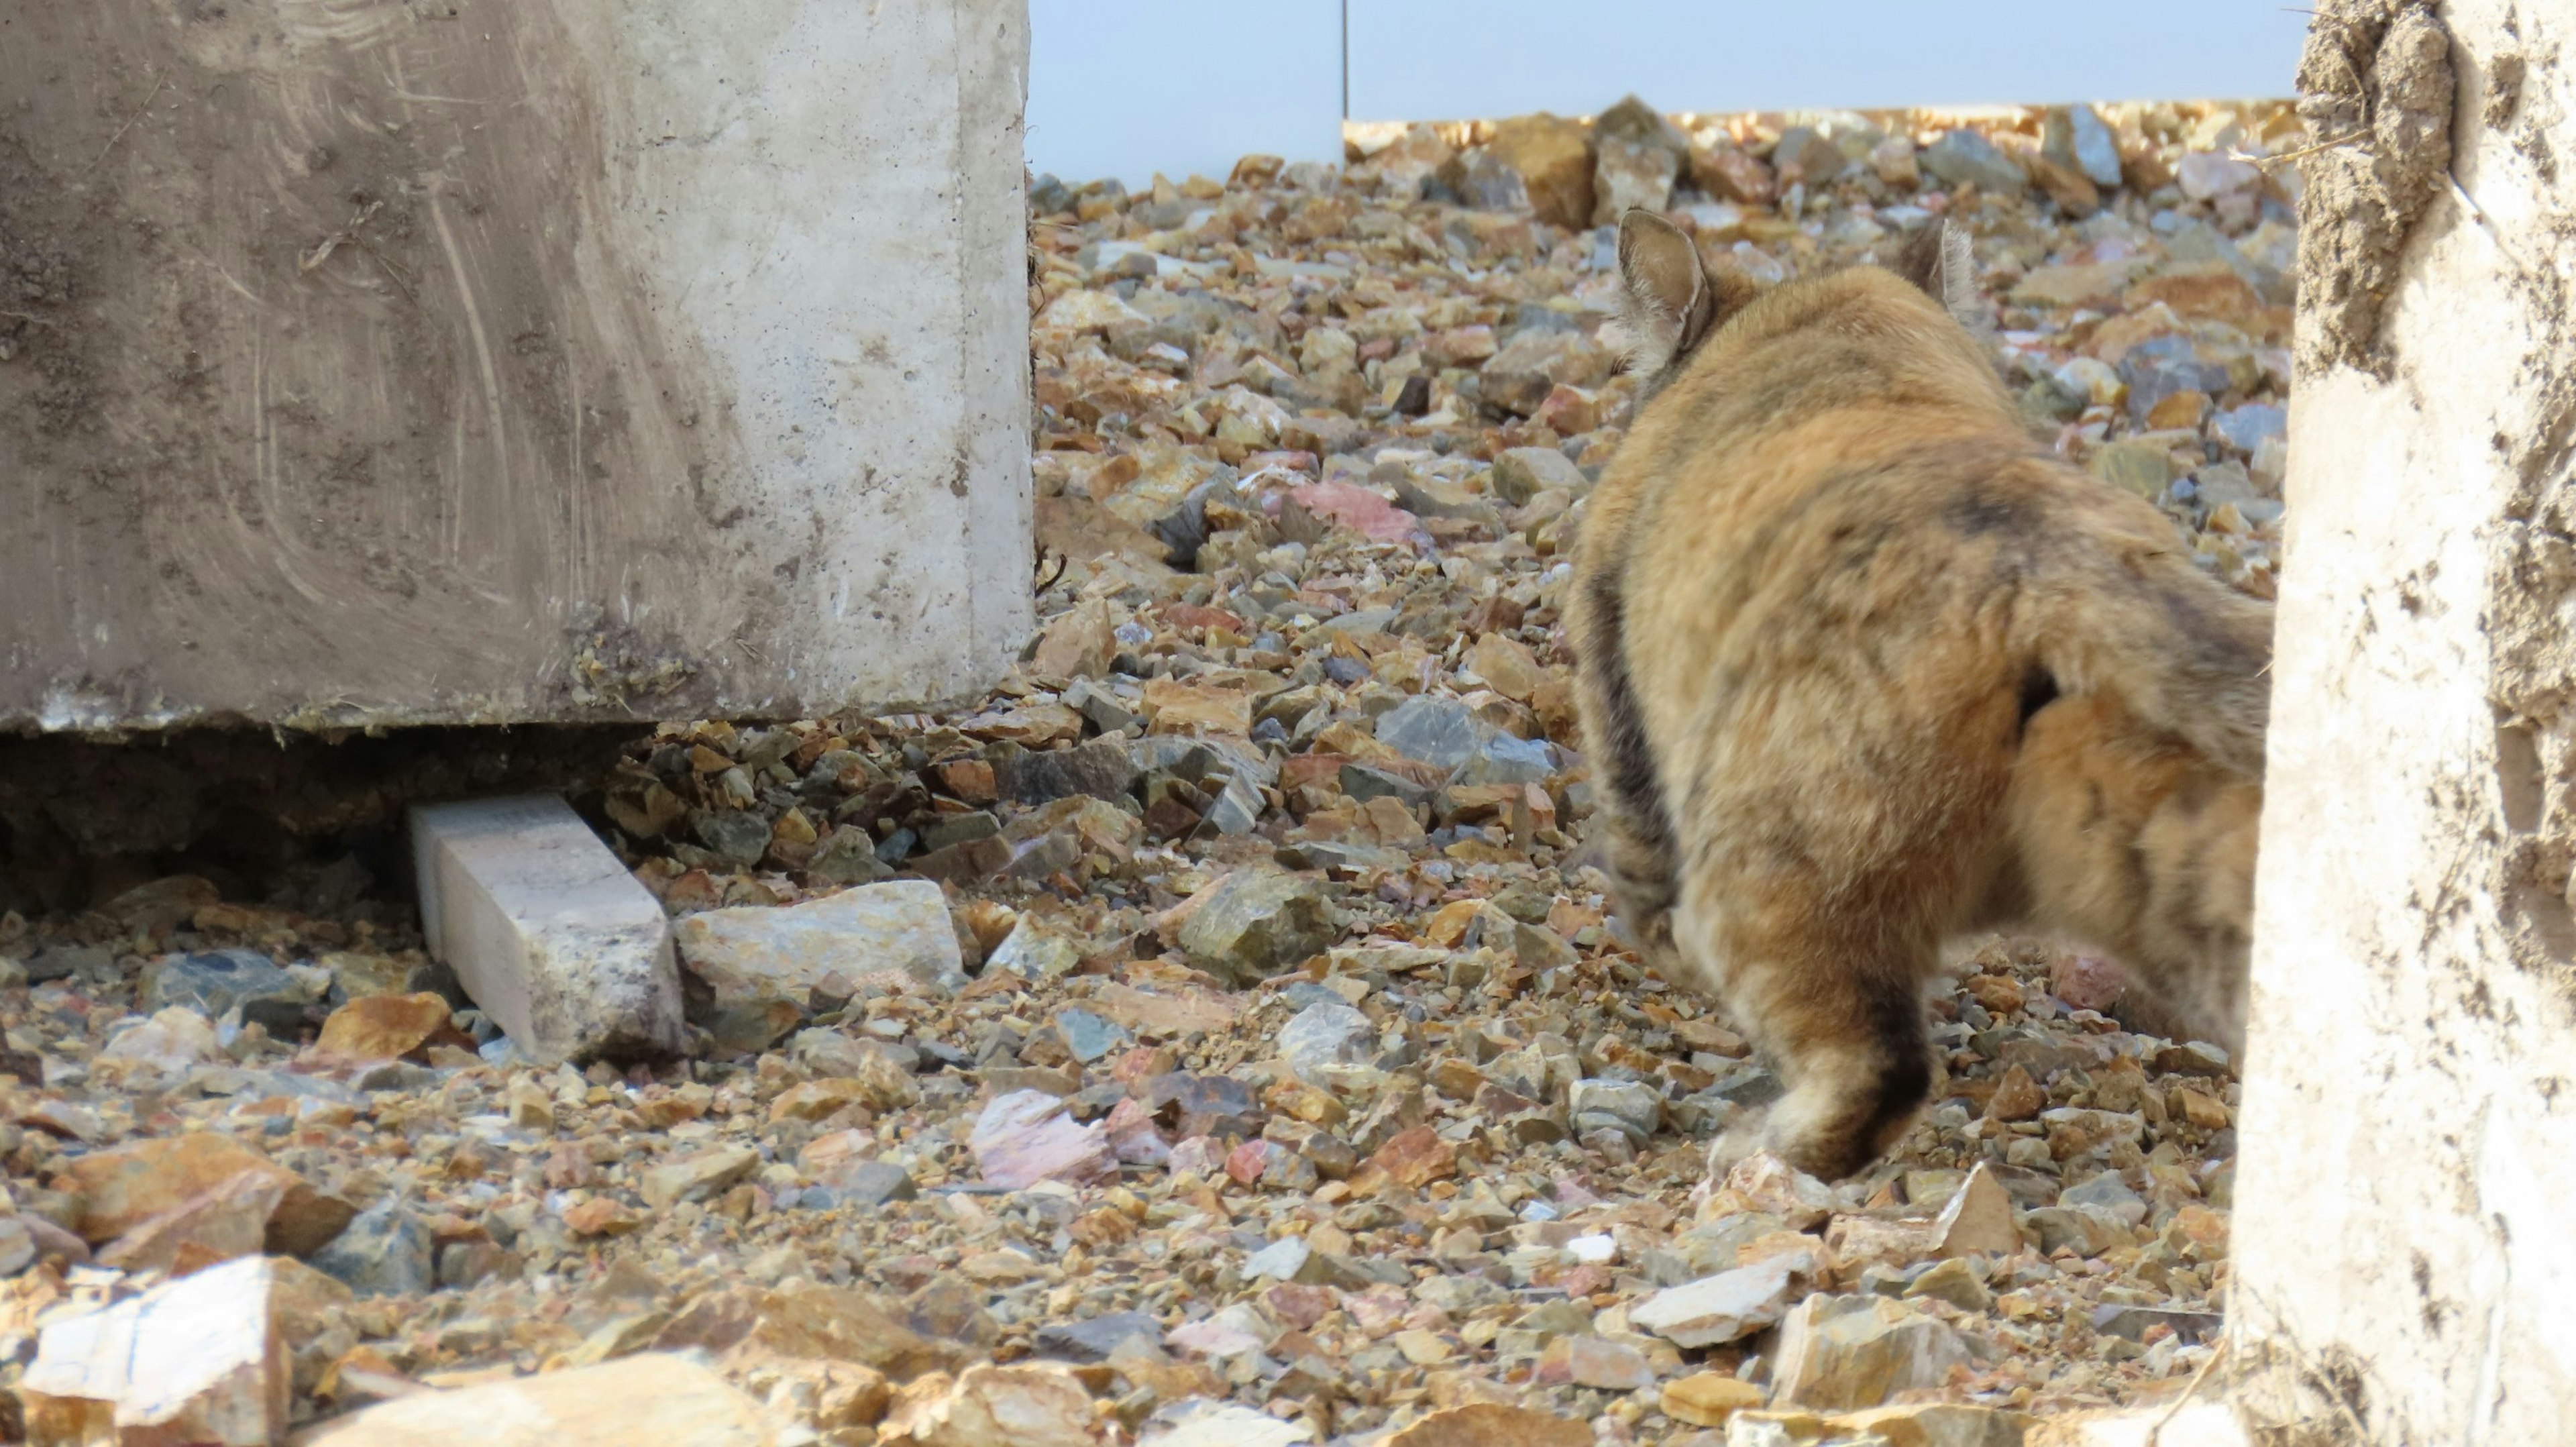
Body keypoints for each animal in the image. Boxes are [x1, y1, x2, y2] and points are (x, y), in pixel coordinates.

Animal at [1566, 216, 2277, 1184]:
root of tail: (2046, 552)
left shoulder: (1612, 673)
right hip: (2159, 845)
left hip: (1767, 864)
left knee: (1875, 1063)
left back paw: (1760, 1148)